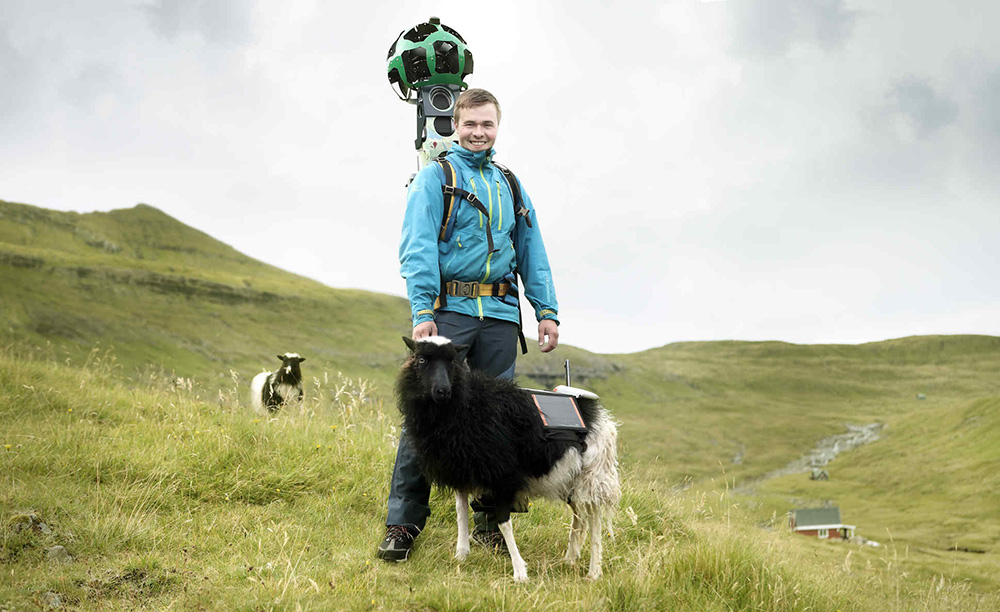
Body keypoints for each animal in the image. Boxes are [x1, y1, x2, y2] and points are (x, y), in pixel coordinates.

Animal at [396, 338, 616, 580]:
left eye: (452, 361)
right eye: (421, 359)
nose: (442, 391)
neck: (466, 405)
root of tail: (599, 416)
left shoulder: (503, 477)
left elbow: (503, 522)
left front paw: (519, 571)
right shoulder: (462, 471)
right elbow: (461, 512)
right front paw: (461, 554)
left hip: (592, 478)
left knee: (594, 521)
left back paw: (594, 571)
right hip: (570, 481)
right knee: (579, 517)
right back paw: (570, 558)